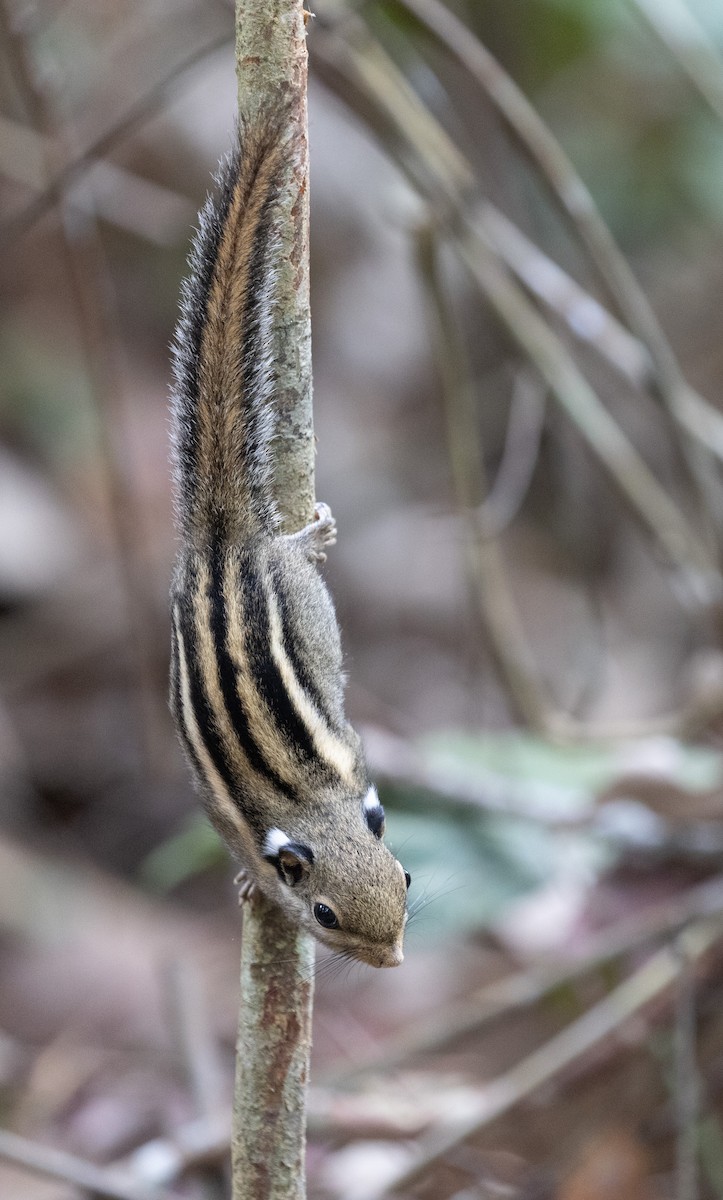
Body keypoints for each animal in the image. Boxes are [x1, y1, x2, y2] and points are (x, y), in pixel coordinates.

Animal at [168, 115, 410, 968]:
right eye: (325, 916)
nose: (393, 959)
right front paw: (249, 884)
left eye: (406, 878)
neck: (307, 805)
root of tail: (220, 538)